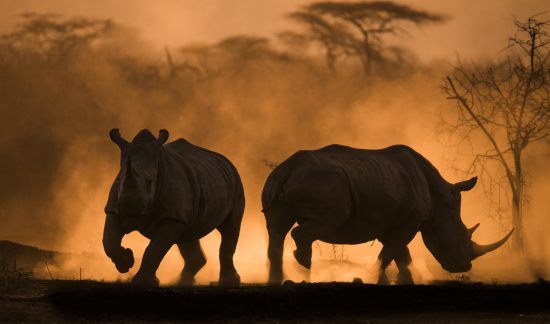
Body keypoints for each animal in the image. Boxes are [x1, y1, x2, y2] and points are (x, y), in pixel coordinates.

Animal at [104, 129, 246, 286]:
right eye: (118, 181)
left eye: (150, 182)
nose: (130, 210)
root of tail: (227, 161)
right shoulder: (113, 209)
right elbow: (109, 242)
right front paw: (126, 262)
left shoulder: (172, 217)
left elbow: (154, 249)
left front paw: (143, 282)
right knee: (188, 233)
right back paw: (182, 282)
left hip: (236, 183)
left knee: (230, 228)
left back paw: (229, 282)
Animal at [264, 144, 512, 284]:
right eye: (460, 236)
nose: (464, 267)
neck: (440, 200)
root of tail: (287, 168)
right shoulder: (411, 220)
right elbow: (391, 252)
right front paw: (378, 279)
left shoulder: (390, 220)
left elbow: (400, 253)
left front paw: (406, 280)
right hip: (325, 182)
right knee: (327, 222)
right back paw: (303, 263)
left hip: (276, 182)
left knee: (276, 229)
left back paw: (277, 280)